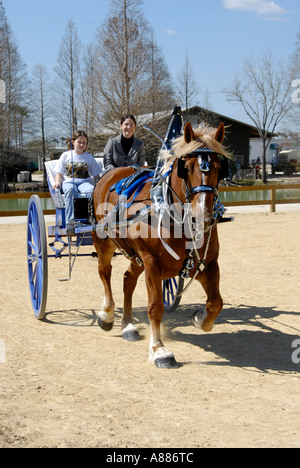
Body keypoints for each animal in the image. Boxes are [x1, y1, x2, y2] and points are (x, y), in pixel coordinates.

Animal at [92, 121, 229, 370]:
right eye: (186, 167)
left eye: (219, 167)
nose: (202, 217)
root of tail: (113, 173)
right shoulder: (152, 263)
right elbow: (155, 307)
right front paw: (159, 350)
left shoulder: (208, 264)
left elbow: (216, 303)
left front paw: (199, 319)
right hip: (104, 243)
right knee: (105, 273)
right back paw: (106, 314)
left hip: (134, 255)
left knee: (128, 280)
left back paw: (128, 325)